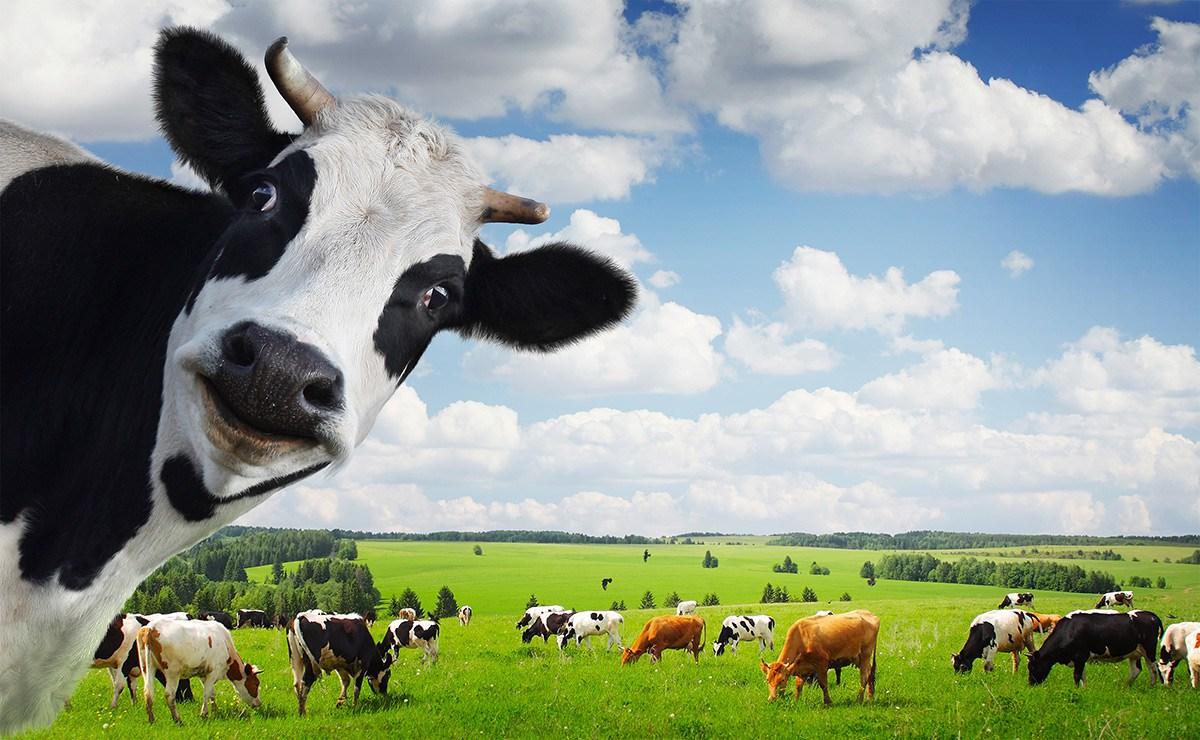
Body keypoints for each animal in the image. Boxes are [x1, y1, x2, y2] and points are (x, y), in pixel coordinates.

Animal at [1027, 609, 1163, 687]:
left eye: (1032, 667)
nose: (1031, 684)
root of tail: (1151, 615)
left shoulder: (1080, 656)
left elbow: (1077, 675)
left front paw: (1076, 689)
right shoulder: (1080, 659)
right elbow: (1083, 676)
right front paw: (1084, 689)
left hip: (1149, 650)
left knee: (1154, 667)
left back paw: (1153, 686)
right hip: (1134, 653)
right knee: (1137, 670)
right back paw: (1126, 686)